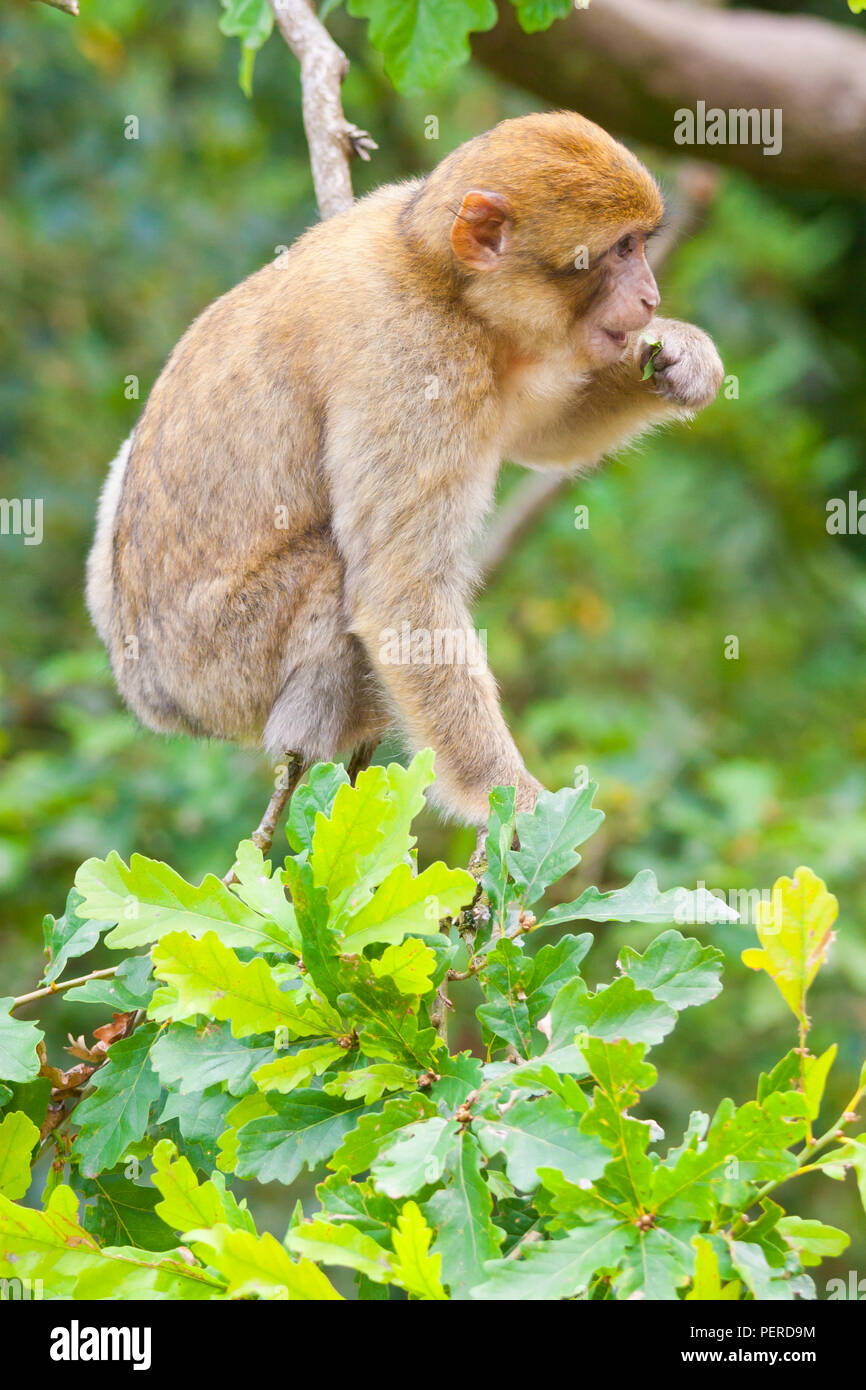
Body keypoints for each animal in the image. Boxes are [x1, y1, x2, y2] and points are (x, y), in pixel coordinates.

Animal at [87, 110, 724, 828]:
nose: (649, 297)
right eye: (619, 250)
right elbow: (402, 590)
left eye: (642, 245)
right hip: (222, 666)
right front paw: (515, 805)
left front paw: (683, 357)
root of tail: (149, 693)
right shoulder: (415, 358)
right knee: (337, 567)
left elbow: (536, 428)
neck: (437, 270)